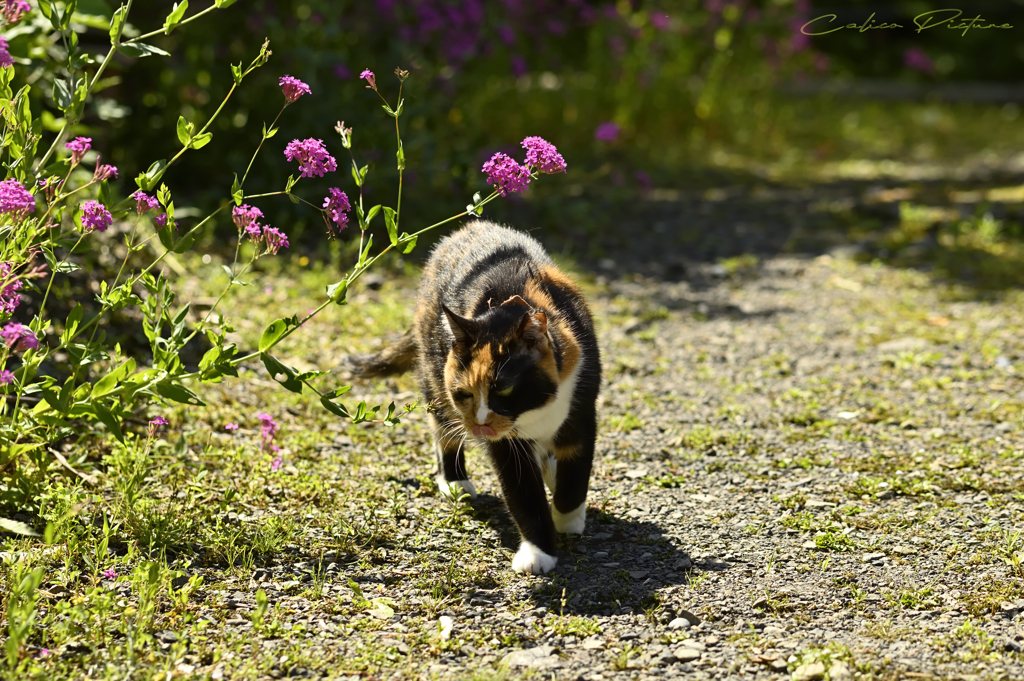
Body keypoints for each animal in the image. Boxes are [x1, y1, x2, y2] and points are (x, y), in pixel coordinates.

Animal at [350, 220, 598, 569]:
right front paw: (538, 552)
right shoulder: (506, 443)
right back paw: (455, 479)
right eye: (464, 393)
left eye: (504, 388)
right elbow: (524, 492)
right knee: (443, 429)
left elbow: (575, 474)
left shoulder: (582, 407)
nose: (480, 423)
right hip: (433, 372)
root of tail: (471, 225)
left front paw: (568, 519)